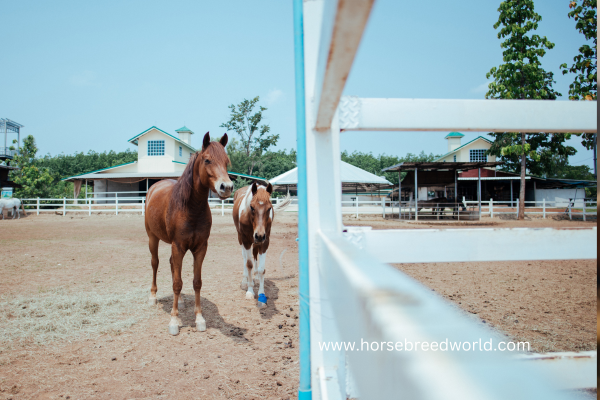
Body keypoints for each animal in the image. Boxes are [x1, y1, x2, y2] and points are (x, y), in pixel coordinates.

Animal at [144, 133, 233, 336]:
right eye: (207, 160)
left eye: (226, 161)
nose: (227, 187)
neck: (191, 208)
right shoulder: (178, 246)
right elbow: (177, 283)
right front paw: (174, 321)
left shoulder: (200, 248)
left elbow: (196, 281)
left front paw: (199, 318)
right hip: (153, 238)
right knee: (155, 263)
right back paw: (153, 297)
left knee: (172, 266)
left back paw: (182, 301)